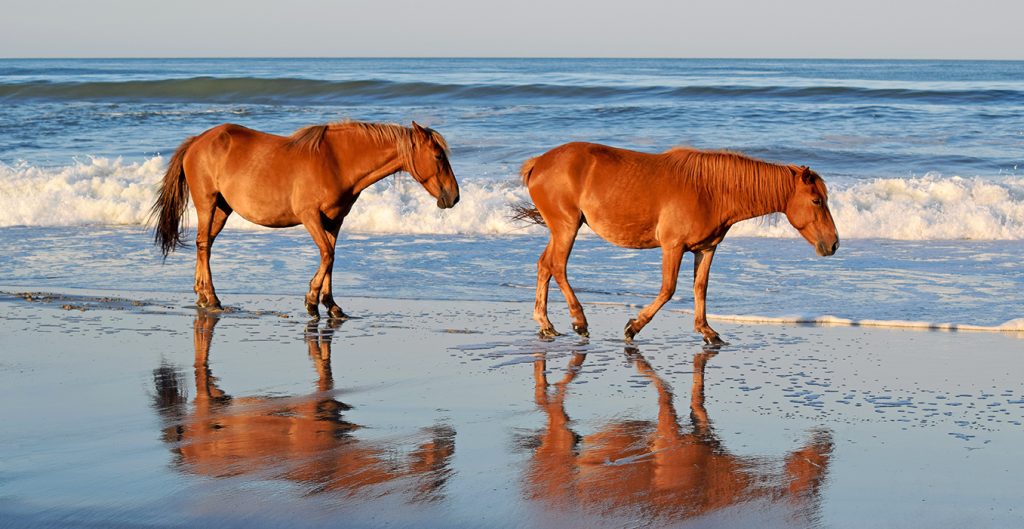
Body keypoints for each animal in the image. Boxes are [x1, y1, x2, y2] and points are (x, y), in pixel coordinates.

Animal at [151, 120, 459, 319]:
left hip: (223, 209)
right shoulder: (310, 216)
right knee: (203, 245)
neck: (337, 161)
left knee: (205, 245)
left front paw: (331, 304)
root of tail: (197, 141)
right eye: (437, 155)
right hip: (207, 203)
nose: (453, 197)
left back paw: (201, 295)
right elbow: (326, 254)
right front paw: (312, 300)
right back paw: (212, 299)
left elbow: (331, 256)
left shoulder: (334, 220)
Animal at [513, 142, 839, 344]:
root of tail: (539, 163)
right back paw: (579, 320)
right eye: (816, 200)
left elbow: (701, 288)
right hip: (566, 227)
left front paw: (708, 332)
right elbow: (668, 289)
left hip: (561, 229)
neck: (711, 190)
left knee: (544, 265)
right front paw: (634, 327)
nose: (834, 244)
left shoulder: (706, 248)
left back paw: (546, 325)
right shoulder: (673, 247)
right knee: (557, 266)